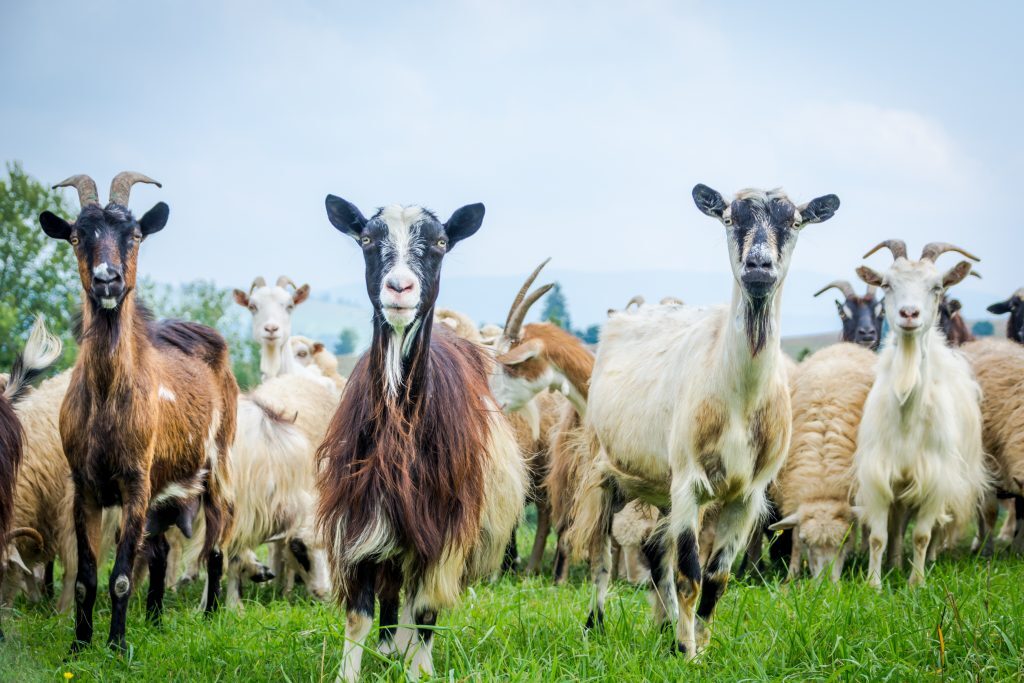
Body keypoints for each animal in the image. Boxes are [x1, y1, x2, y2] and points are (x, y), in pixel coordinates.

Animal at [41, 172, 238, 652]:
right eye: (76, 236)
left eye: (133, 235)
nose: (107, 280)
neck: (108, 399)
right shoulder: (85, 486)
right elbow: (86, 578)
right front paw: (79, 645)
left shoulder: (135, 482)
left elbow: (121, 577)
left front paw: (115, 647)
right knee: (162, 549)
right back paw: (155, 620)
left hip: (218, 464)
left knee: (217, 544)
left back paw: (210, 615)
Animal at [318, 196, 526, 681]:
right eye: (367, 238)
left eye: (440, 242)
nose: (399, 287)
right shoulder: (363, 517)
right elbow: (358, 614)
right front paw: (352, 671)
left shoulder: (445, 526)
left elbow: (427, 609)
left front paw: (419, 671)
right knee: (395, 592)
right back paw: (390, 645)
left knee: (418, 604)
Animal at [573, 184, 839, 656]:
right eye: (730, 218)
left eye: (794, 221)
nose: (758, 266)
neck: (739, 398)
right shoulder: (689, 482)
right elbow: (690, 575)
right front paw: (686, 651)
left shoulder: (746, 496)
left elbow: (716, 578)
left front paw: (702, 645)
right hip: (603, 471)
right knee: (601, 557)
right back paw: (596, 626)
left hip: (660, 484)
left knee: (654, 552)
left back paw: (663, 627)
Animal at [854, 240, 989, 587]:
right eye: (887, 284)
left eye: (937, 286)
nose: (909, 314)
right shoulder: (879, 474)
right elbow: (879, 535)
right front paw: (874, 584)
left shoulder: (936, 478)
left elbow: (923, 535)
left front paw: (917, 584)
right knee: (899, 523)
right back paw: (895, 564)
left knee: (935, 530)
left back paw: (928, 561)